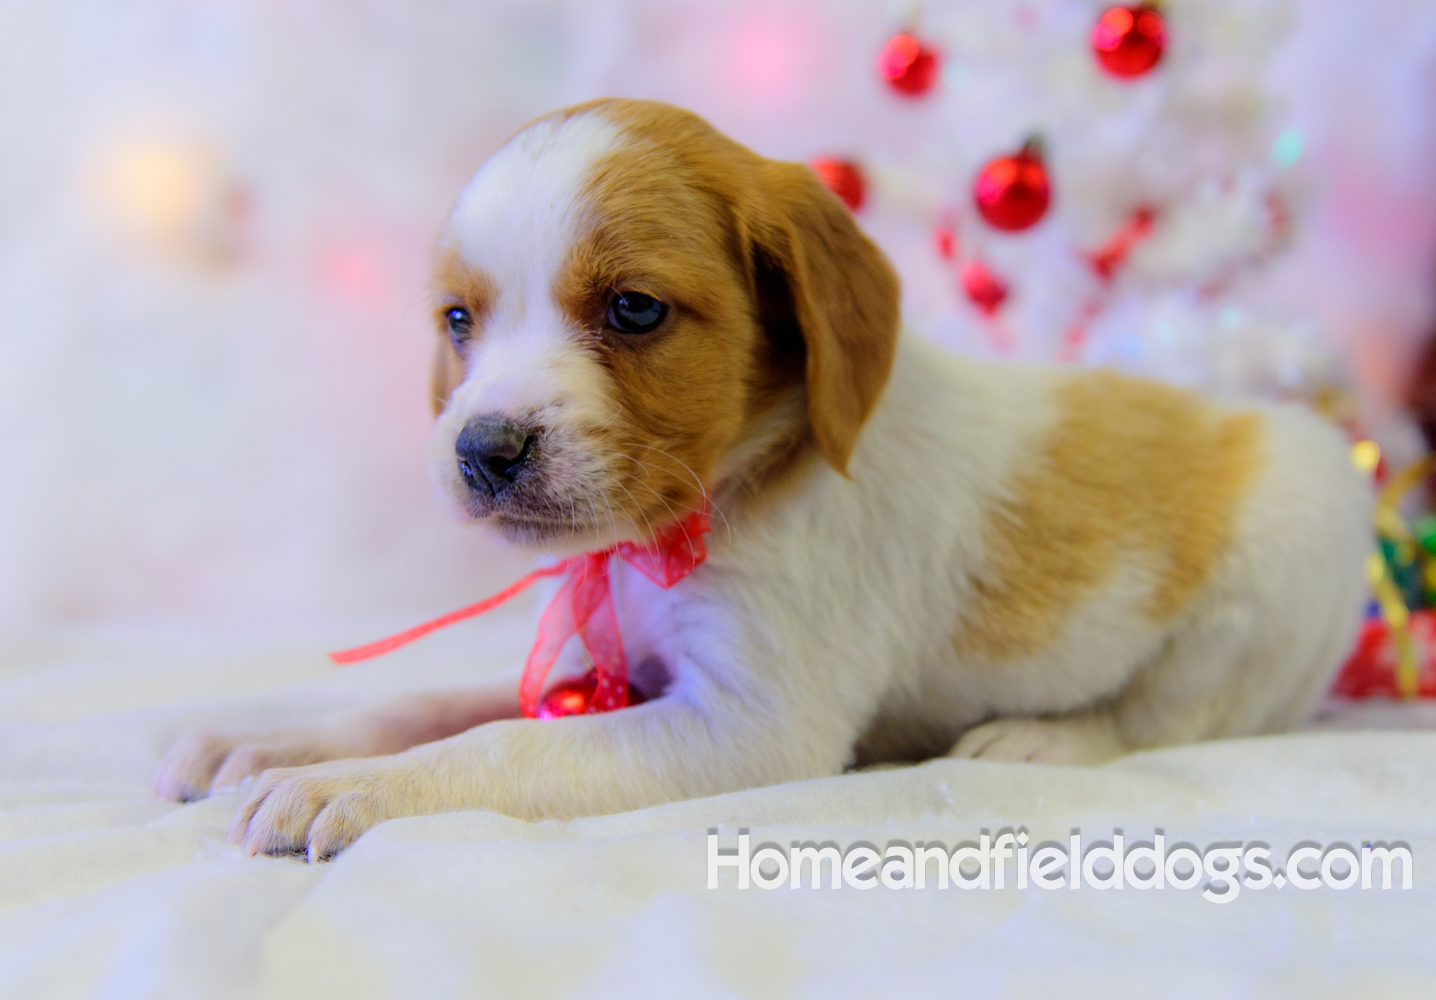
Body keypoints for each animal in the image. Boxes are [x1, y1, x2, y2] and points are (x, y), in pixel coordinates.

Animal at [151, 97, 1372, 862]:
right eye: (459, 320)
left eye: (632, 309)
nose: (481, 449)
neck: (706, 510)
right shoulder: (618, 666)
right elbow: (429, 701)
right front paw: (278, 739)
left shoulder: (750, 729)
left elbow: (506, 742)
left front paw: (358, 786)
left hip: (1279, 566)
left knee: (1176, 714)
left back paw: (1041, 737)